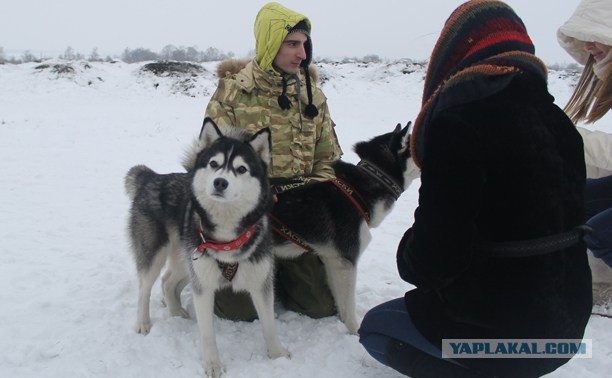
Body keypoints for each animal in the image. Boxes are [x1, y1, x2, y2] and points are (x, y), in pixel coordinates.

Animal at [125, 117, 290, 376]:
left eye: (241, 169)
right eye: (214, 164)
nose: (220, 182)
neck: (227, 235)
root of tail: (152, 178)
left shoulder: (260, 281)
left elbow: (269, 324)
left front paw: (277, 354)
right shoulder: (203, 286)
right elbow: (207, 333)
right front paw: (212, 364)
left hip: (188, 260)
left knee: (168, 281)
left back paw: (176, 312)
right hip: (156, 254)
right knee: (144, 288)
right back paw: (143, 323)